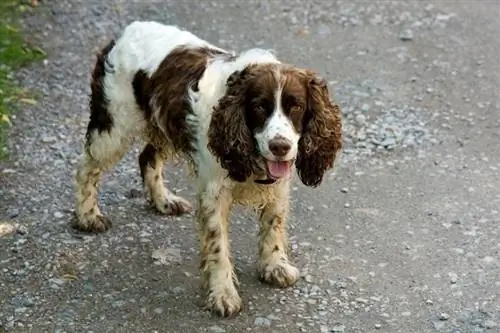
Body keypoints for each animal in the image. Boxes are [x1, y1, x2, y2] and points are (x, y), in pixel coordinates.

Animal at [74, 20, 342, 316]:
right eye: (259, 106)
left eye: (296, 106)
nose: (280, 146)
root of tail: (124, 32)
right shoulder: (214, 193)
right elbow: (218, 247)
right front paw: (223, 294)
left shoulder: (278, 187)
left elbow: (273, 225)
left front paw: (274, 267)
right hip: (113, 126)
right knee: (85, 169)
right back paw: (87, 216)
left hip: (162, 125)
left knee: (146, 158)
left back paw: (164, 201)